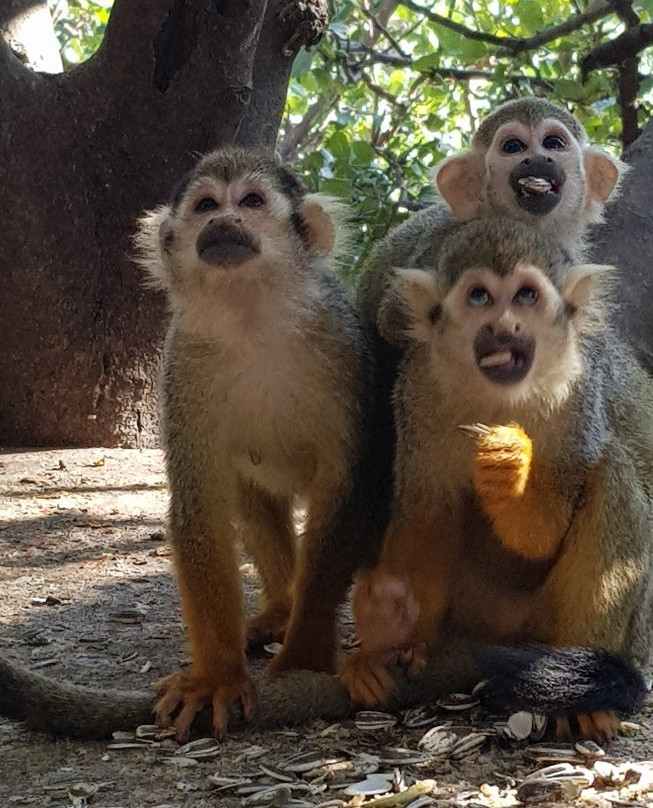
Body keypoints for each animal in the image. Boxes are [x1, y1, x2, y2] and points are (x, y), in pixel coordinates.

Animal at [133, 147, 383, 741]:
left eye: (250, 201)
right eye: (205, 206)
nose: (224, 223)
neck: (252, 315)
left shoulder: (343, 345)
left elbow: (348, 487)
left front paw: (304, 656)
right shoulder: (183, 361)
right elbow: (199, 503)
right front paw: (217, 676)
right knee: (250, 494)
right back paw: (278, 608)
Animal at [341, 218, 653, 744]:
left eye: (527, 296)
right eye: (480, 297)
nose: (504, 327)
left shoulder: (579, 392)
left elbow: (544, 533)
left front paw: (512, 466)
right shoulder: (419, 386)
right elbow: (428, 513)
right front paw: (393, 632)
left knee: (612, 468)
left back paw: (585, 681)